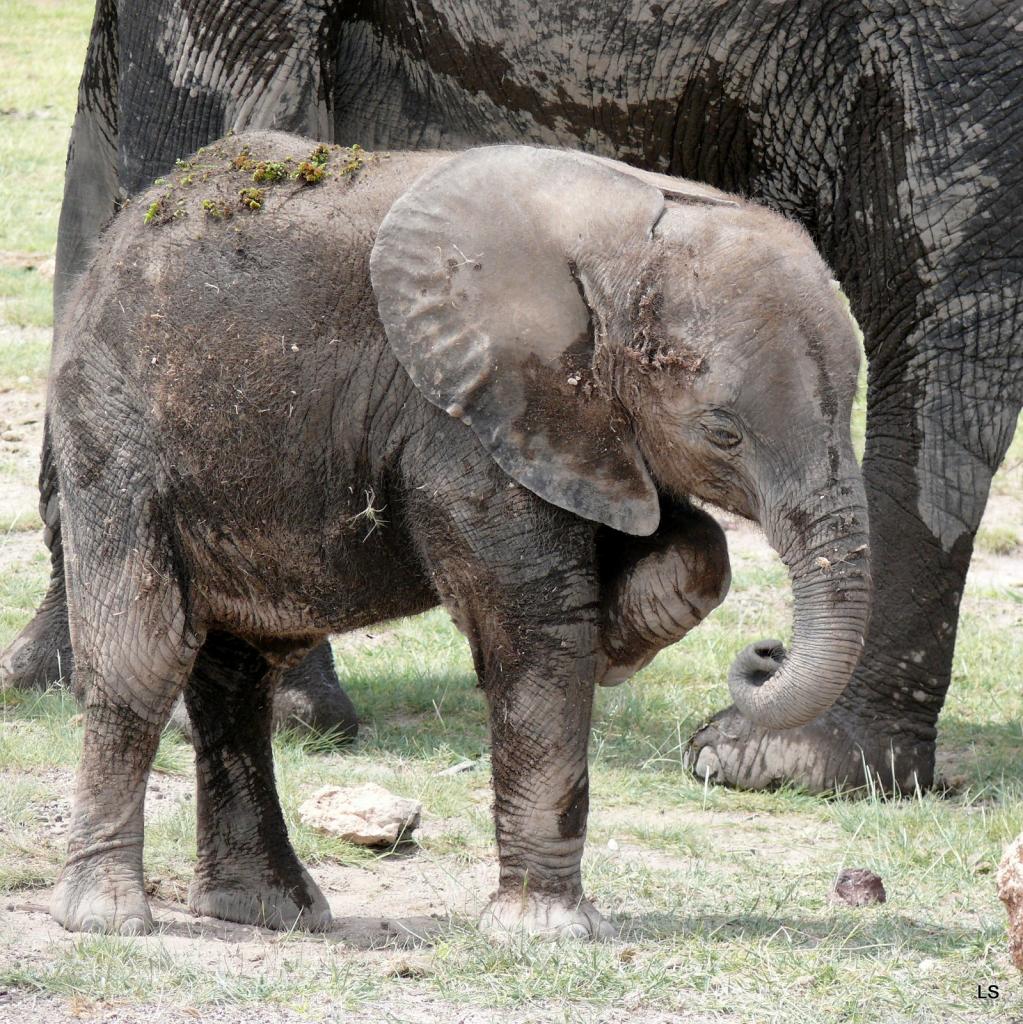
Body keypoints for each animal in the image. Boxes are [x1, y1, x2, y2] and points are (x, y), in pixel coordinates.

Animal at [4, 0, 1019, 790]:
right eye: (720, 433)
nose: (763, 653)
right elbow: (106, 179)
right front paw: (58, 673)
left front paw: (260, 703)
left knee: (946, 296)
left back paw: (776, 762)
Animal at [49, 132, 872, 937]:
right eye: (723, 433)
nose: (766, 652)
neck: (615, 241)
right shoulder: (462, 419)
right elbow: (535, 621)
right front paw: (546, 933)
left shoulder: (576, 425)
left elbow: (691, 548)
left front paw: (617, 633)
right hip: (115, 430)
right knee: (142, 655)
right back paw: (109, 919)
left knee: (239, 674)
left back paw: (266, 910)